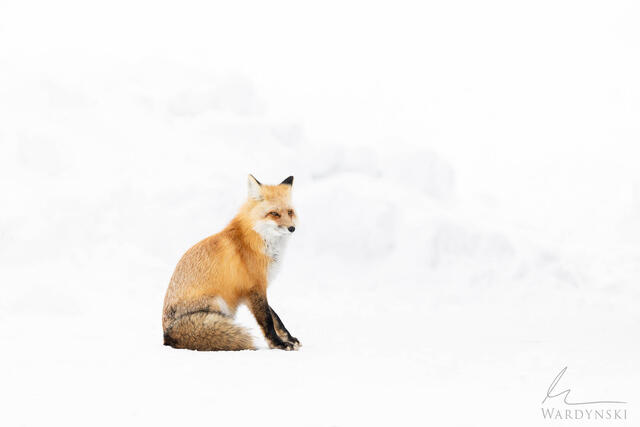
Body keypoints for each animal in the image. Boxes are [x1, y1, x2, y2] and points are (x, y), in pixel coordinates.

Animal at [162, 174, 300, 351]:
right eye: (274, 213)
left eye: (290, 212)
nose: (292, 228)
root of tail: (166, 334)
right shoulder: (254, 287)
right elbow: (267, 320)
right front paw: (278, 344)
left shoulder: (253, 291)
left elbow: (275, 317)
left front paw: (288, 338)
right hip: (219, 304)